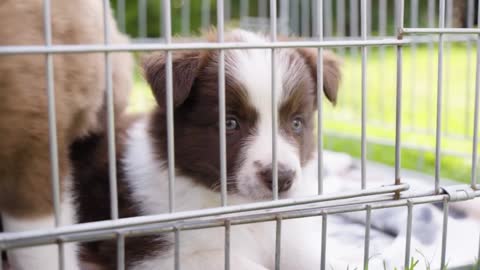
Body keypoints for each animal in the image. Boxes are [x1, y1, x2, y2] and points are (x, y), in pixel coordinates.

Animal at [71, 29, 342, 270]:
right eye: (230, 123)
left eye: (296, 123)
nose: (282, 179)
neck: (239, 206)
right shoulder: (152, 252)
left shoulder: (285, 235)